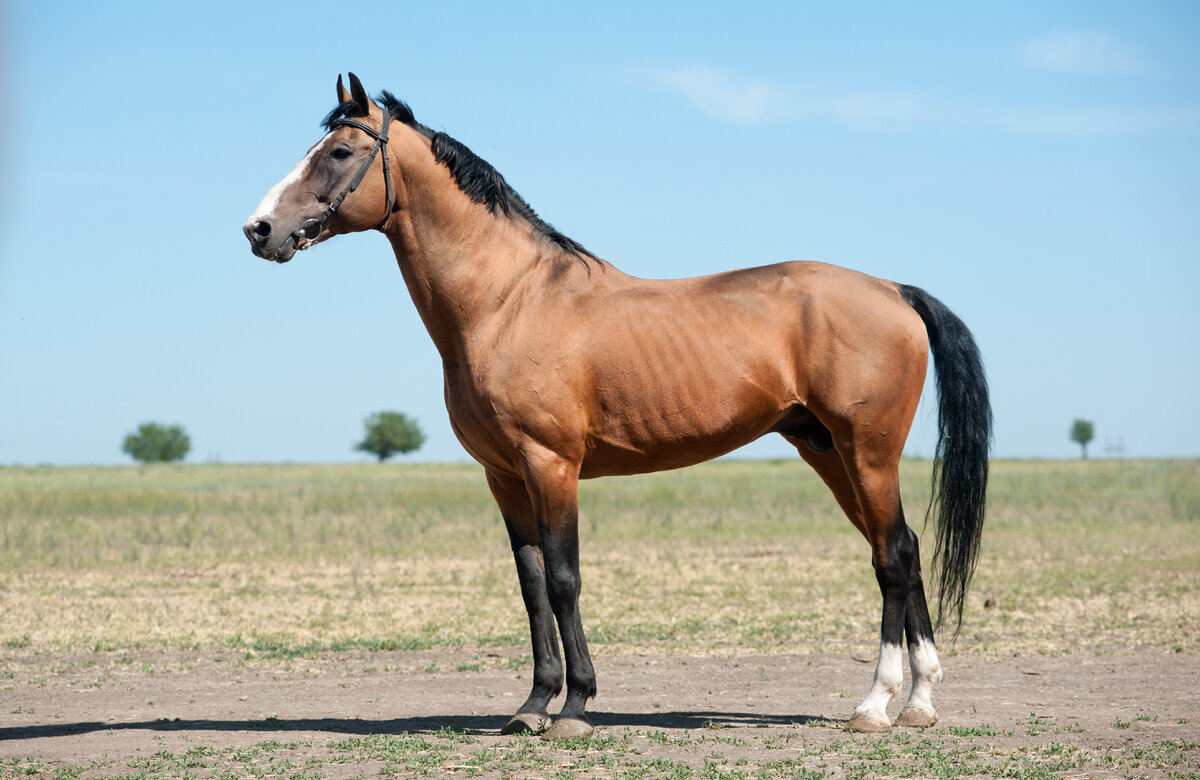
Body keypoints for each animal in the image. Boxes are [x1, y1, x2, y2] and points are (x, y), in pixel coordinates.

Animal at [243, 72, 993, 734]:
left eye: (339, 152)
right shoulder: (504, 476)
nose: (259, 229)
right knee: (903, 550)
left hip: (868, 452)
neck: (507, 301)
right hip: (829, 452)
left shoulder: (551, 465)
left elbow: (565, 579)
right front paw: (532, 707)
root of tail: (893, 290)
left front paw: (575, 708)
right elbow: (532, 586)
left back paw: (875, 706)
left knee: (891, 557)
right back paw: (920, 704)